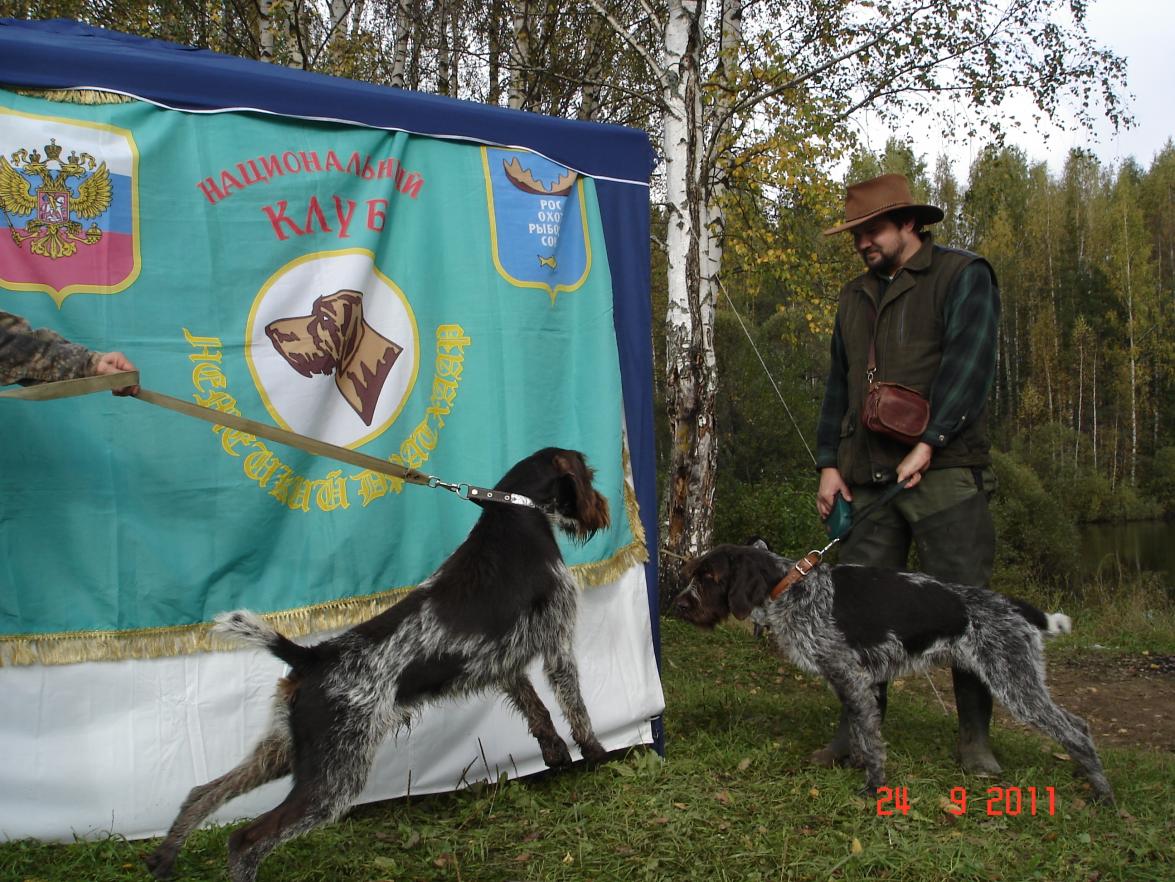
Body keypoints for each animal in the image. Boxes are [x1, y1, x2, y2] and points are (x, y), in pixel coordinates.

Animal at [145, 448, 611, 882]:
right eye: (589, 473)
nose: (604, 507)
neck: (516, 512)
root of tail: (311, 655)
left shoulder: (504, 663)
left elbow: (536, 708)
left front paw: (554, 751)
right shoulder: (558, 645)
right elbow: (576, 708)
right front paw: (595, 754)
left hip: (287, 753)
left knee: (202, 792)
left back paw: (165, 857)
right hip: (334, 777)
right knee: (245, 839)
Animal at [672, 544, 1114, 803]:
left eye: (708, 577)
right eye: (693, 574)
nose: (678, 605)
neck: (790, 588)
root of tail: (1015, 605)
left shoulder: (849, 676)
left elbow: (871, 740)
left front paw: (873, 787)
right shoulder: (860, 682)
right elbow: (860, 730)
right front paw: (854, 765)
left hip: (1014, 679)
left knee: (1075, 729)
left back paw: (1103, 794)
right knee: (1076, 726)